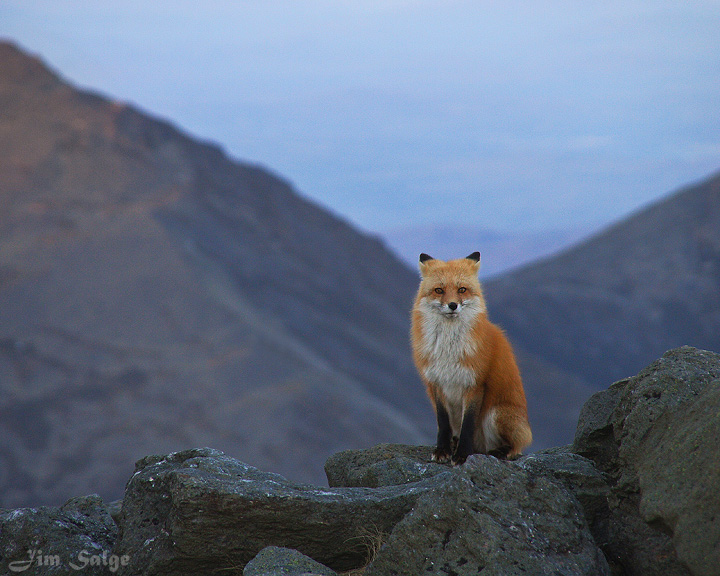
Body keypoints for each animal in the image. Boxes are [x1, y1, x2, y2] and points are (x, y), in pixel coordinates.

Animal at [411, 251, 532, 465]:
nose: (452, 305)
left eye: (462, 290)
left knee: (516, 445)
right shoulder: (436, 382)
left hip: (497, 414)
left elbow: (468, 424)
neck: (448, 348)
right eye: (439, 290)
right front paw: (442, 450)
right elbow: (443, 423)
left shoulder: (475, 382)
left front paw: (463, 454)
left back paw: (498, 451)